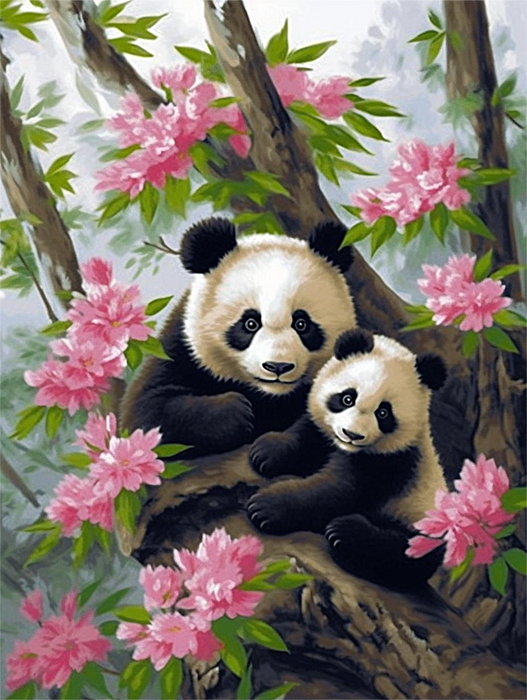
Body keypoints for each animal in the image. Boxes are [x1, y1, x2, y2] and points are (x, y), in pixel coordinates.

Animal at [120, 217, 357, 454]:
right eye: (250, 323)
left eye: (302, 324)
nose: (278, 366)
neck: (269, 395)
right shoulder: (181, 349)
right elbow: (149, 410)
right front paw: (238, 414)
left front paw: (272, 449)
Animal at [247, 329, 448, 589]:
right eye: (347, 398)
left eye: (383, 412)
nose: (351, 434)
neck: (347, 449)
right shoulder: (324, 432)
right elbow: (307, 434)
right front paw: (266, 452)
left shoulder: (392, 461)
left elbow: (338, 489)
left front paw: (265, 506)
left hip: (419, 518)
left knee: (404, 553)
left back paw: (345, 533)